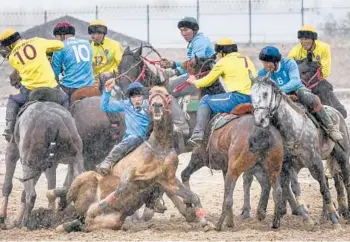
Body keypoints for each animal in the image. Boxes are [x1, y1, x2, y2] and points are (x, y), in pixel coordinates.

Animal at [0, 88, 85, 228]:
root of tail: (52, 124)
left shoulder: (14, 150)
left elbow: (8, 182)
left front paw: (4, 218)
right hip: (73, 154)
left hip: (29, 160)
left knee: (31, 194)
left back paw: (25, 223)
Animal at [50, 86, 213, 233]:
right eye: (151, 94)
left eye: (166, 95)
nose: (157, 105)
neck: (159, 148)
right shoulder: (129, 171)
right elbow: (119, 191)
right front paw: (97, 207)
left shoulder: (167, 181)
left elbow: (193, 196)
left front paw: (205, 222)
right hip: (86, 176)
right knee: (68, 193)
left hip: (110, 222)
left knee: (81, 221)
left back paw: (70, 222)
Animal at [249, 71, 350, 229]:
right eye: (251, 95)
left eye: (265, 93)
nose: (259, 120)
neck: (293, 129)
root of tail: (337, 113)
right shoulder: (289, 166)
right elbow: (296, 188)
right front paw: (307, 219)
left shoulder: (315, 162)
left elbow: (323, 188)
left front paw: (334, 218)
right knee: (334, 181)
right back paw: (329, 214)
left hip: (342, 156)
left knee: (345, 180)